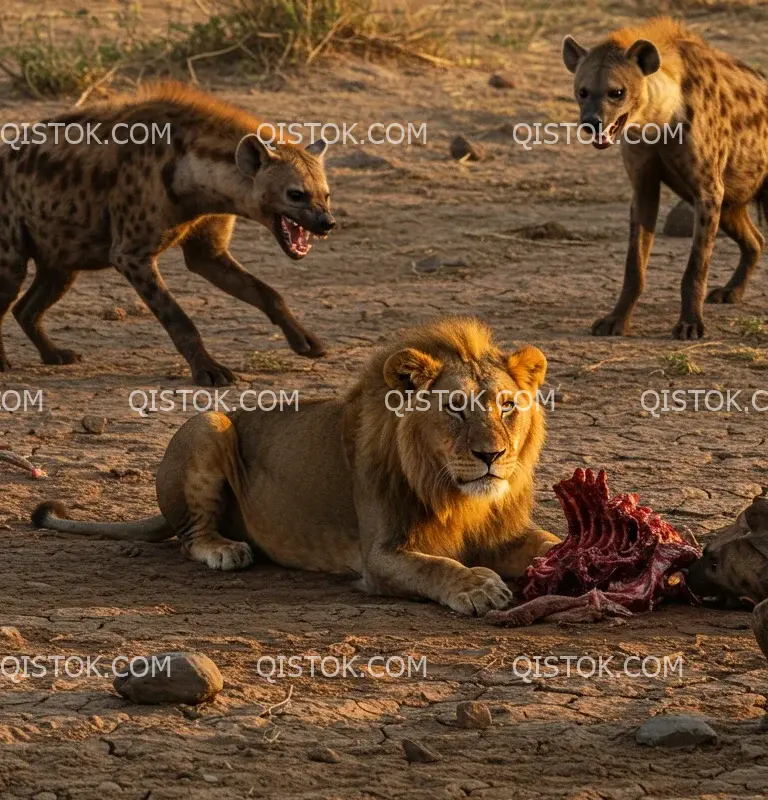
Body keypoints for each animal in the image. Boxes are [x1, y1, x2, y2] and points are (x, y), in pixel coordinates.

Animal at [33, 316, 560, 616]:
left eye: (507, 406)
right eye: (455, 407)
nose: (491, 455)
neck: (459, 497)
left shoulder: (503, 534)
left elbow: (549, 543)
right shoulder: (380, 556)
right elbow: (435, 567)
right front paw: (478, 586)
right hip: (209, 422)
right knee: (189, 538)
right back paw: (226, 550)